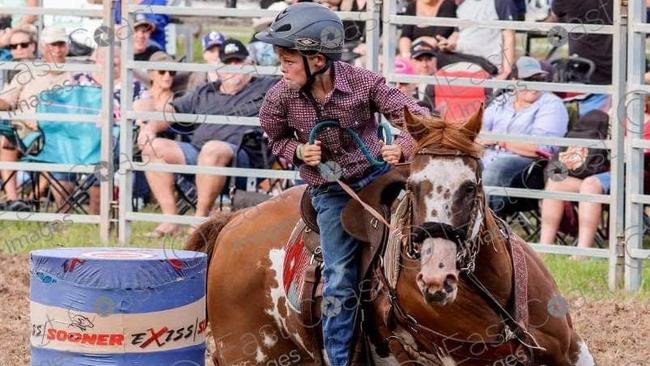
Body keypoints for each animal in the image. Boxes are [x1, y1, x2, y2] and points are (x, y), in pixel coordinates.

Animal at [186, 109, 592, 366]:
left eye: (470, 186)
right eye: (412, 187)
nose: (436, 280)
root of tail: (233, 223)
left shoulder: (571, 350)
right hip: (251, 355)